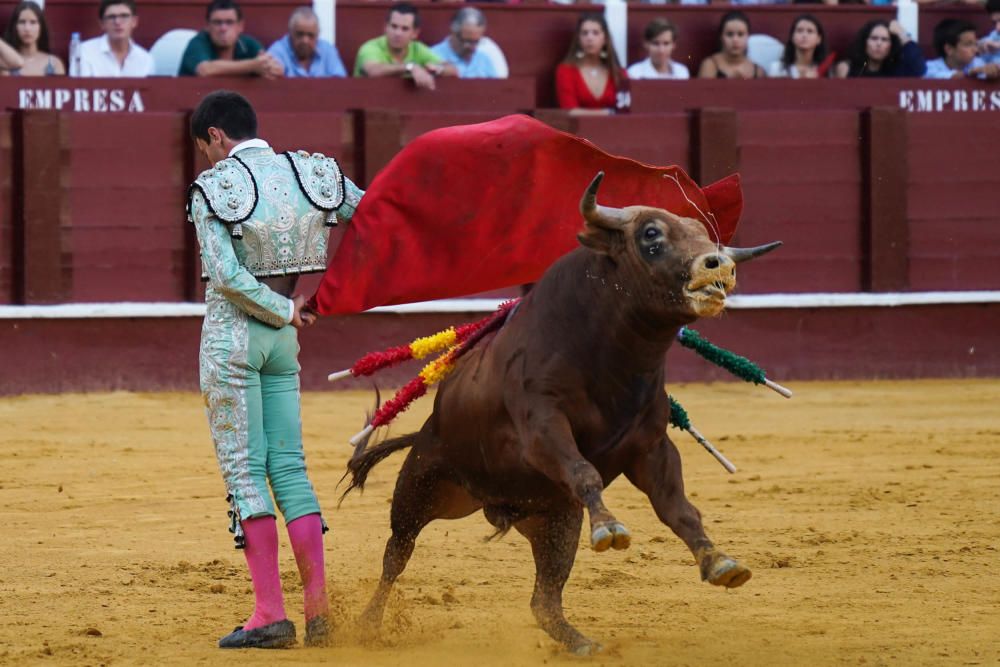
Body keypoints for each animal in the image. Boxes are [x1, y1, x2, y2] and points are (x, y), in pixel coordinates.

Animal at [344, 174, 780, 656]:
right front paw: (609, 528)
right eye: (651, 235)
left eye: (704, 235)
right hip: (421, 486)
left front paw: (720, 561)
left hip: (555, 519)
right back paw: (366, 625)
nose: (718, 265)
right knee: (396, 557)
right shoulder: (543, 426)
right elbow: (584, 471)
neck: (616, 359)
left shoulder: (650, 446)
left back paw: (583, 643)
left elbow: (678, 507)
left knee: (544, 600)